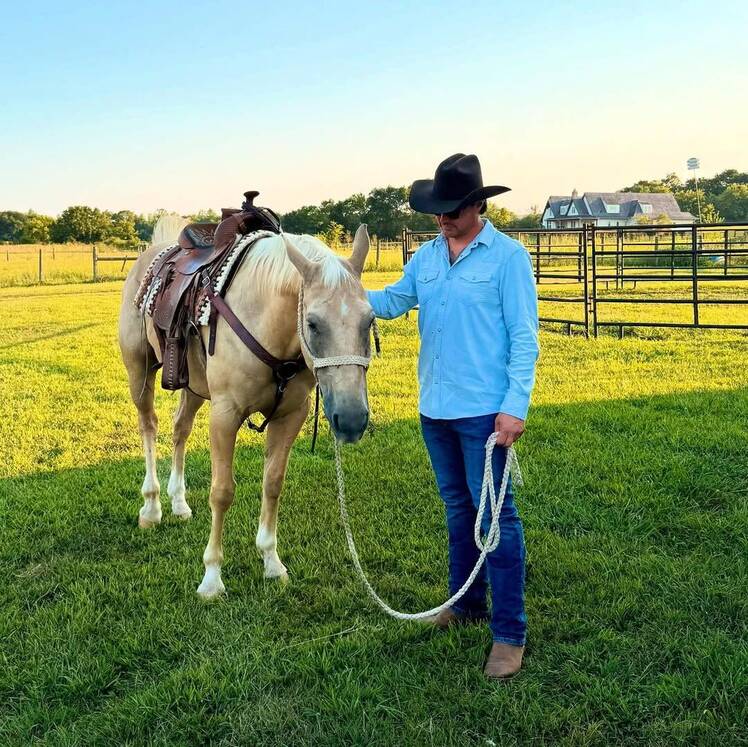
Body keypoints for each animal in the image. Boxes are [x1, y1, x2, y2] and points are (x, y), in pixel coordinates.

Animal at [118, 224, 373, 598]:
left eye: (369, 321)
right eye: (312, 324)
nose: (352, 419)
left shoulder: (290, 417)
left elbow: (273, 484)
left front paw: (271, 561)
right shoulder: (225, 415)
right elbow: (222, 492)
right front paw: (211, 578)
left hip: (193, 386)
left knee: (180, 429)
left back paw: (178, 502)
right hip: (139, 370)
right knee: (148, 426)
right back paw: (152, 507)